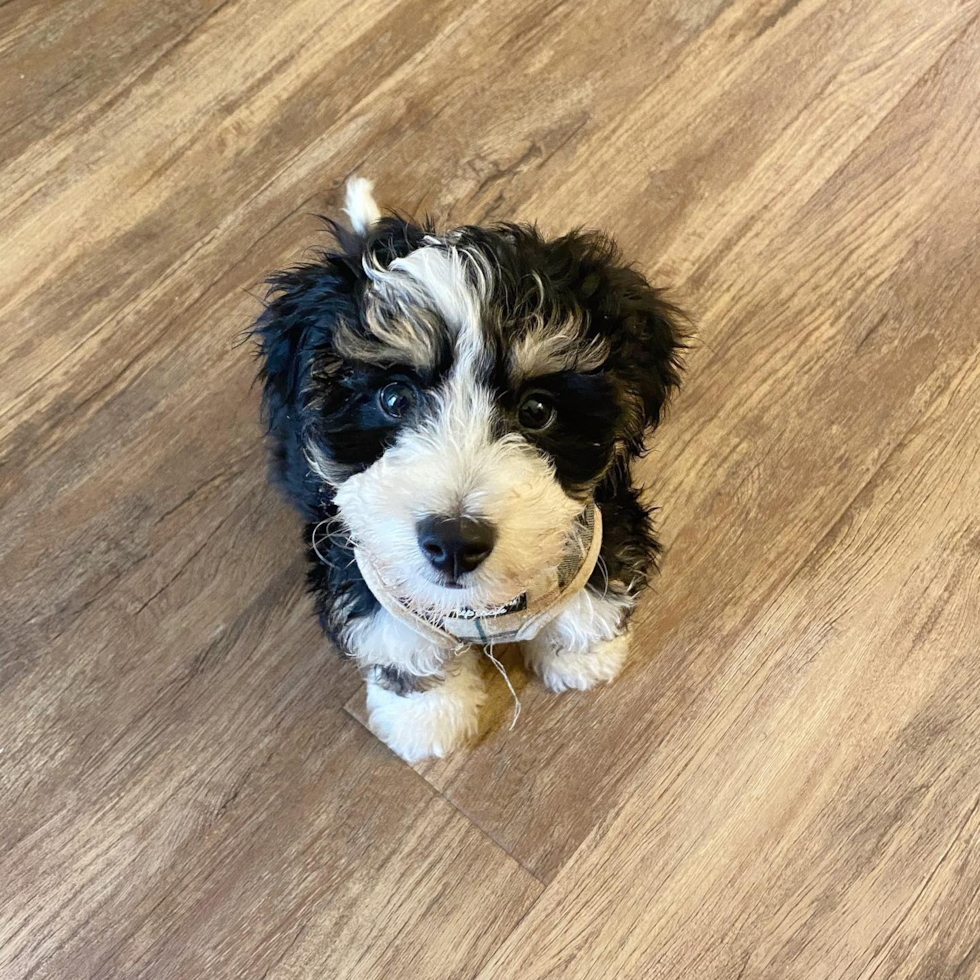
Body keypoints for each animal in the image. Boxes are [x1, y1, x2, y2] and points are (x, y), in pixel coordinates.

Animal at [253, 180, 680, 760]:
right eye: (394, 399)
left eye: (537, 410)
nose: (454, 541)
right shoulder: (361, 563)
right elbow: (399, 644)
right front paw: (427, 719)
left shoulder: (599, 518)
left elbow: (597, 587)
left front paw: (581, 658)